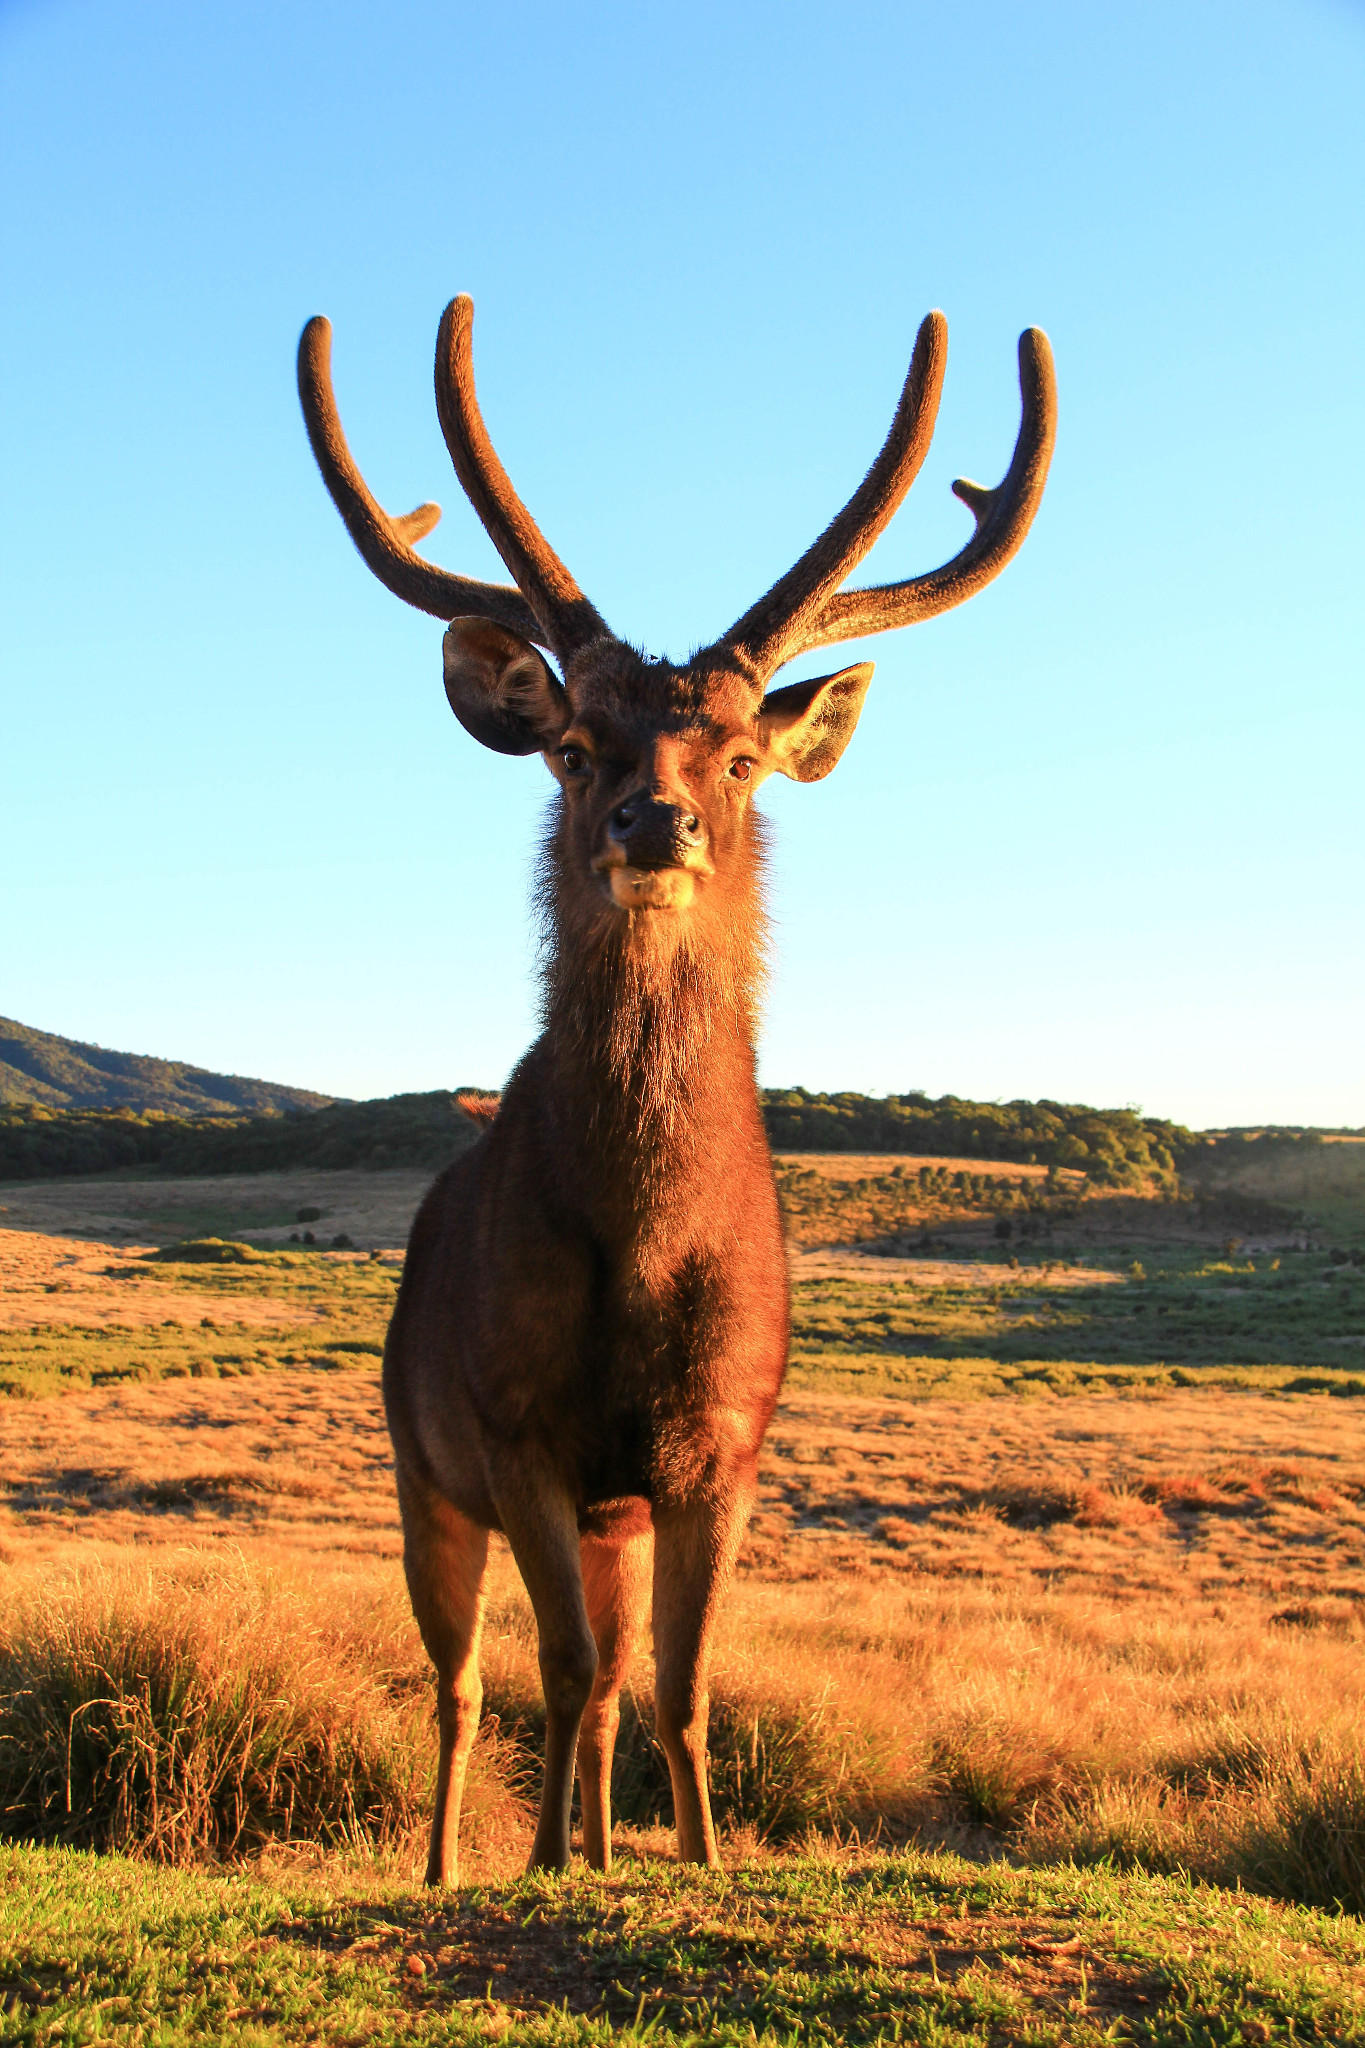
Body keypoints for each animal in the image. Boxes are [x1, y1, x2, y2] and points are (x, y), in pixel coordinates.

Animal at [294, 296, 1055, 1875]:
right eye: (575, 747)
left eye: (746, 755)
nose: (658, 821)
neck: (646, 1246)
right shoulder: (511, 1421)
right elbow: (558, 1666)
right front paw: (531, 1870)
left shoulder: (722, 1441)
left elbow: (681, 1686)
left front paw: (691, 1861)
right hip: (416, 1459)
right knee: (465, 1684)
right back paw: (456, 1860)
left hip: (613, 1512)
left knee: (606, 1684)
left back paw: (594, 1847)